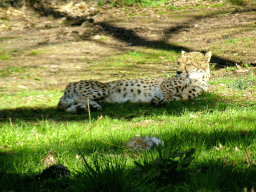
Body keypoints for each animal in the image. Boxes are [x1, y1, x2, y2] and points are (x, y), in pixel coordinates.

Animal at [58, 50, 212, 112]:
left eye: (188, 63)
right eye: (179, 62)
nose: (178, 72)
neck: (196, 77)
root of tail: (68, 86)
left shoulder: (184, 96)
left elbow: (175, 98)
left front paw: (158, 101)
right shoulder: (164, 85)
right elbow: (166, 93)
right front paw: (160, 99)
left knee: (69, 105)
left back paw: (84, 108)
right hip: (104, 88)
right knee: (78, 99)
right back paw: (91, 106)